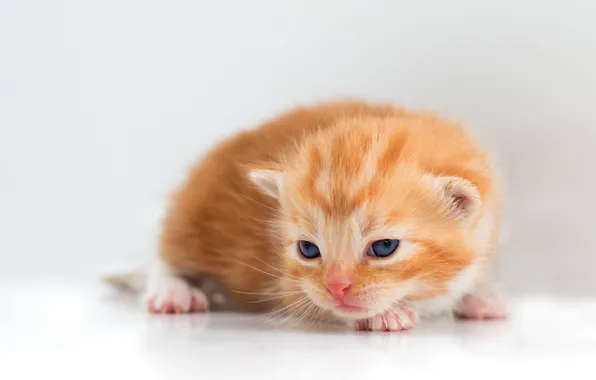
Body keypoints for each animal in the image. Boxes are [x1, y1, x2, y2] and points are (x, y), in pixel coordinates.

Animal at [108, 101, 508, 330]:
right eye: (308, 250)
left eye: (384, 248)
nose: (335, 286)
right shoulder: (289, 285)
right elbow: (314, 303)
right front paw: (384, 315)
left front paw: (480, 296)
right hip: (190, 214)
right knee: (165, 253)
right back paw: (172, 292)